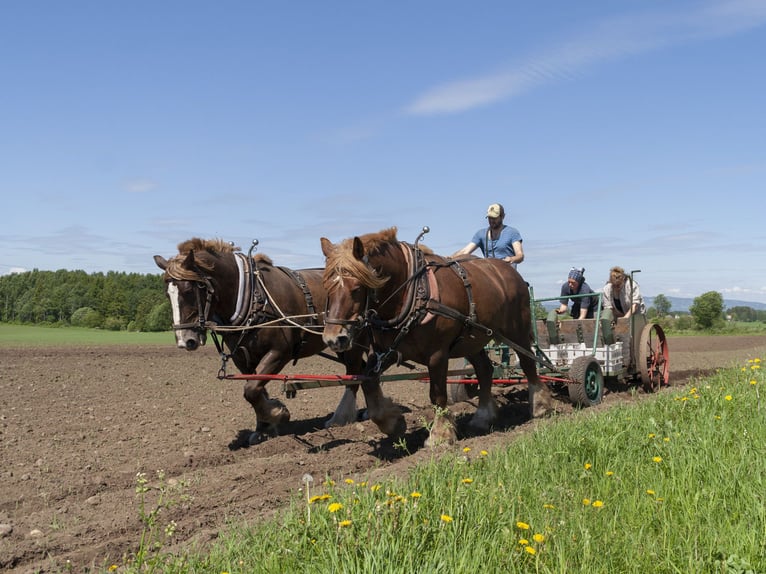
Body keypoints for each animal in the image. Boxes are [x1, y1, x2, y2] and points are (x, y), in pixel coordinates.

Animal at [155, 238, 366, 446]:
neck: (253, 297)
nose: (185, 340)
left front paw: (277, 413)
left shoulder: (279, 353)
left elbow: (250, 390)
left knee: (355, 372)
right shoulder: (243, 358)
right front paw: (264, 427)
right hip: (338, 343)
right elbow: (255, 389)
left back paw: (342, 417)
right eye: (167, 294)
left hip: (348, 339)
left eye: (189, 290)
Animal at [320, 227, 556, 448]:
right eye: (326, 288)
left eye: (356, 288)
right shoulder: (384, 352)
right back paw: (483, 417)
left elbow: (437, 394)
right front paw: (393, 422)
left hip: (516, 331)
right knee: (485, 370)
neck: (412, 293)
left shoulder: (437, 354)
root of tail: (508, 272)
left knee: (528, 363)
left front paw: (440, 435)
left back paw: (541, 406)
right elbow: (368, 382)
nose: (334, 339)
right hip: (472, 340)